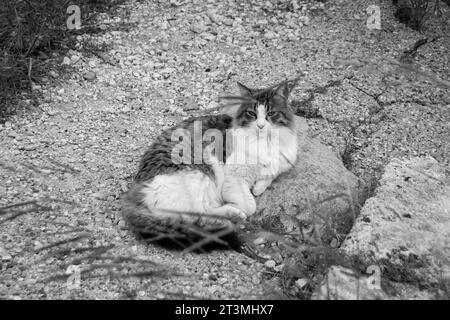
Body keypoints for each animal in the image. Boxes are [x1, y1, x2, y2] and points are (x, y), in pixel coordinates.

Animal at [122, 79, 298, 242]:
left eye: (271, 114)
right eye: (252, 114)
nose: (260, 126)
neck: (266, 142)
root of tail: (134, 194)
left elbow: (268, 177)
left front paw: (258, 187)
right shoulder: (233, 177)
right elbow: (250, 205)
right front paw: (241, 203)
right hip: (199, 172)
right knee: (197, 214)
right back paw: (233, 213)